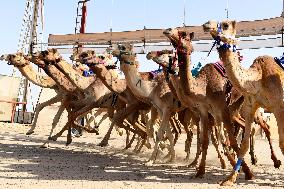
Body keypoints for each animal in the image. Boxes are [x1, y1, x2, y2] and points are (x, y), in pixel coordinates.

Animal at [162, 27, 253, 179]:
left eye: (184, 34)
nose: (167, 30)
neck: (203, 87)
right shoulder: (204, 111)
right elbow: (205, 141)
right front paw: (200, 171)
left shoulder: (222, 108)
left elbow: (231, 140)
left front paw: (248, 172)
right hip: (234, 109)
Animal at [203, 19, 284, 186]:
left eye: (226, 25)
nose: (206, 24)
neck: (257, 79)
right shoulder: (250, 108)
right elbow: (244, 144)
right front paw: (230, 179)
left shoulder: (278, 107)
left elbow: (282, 142)